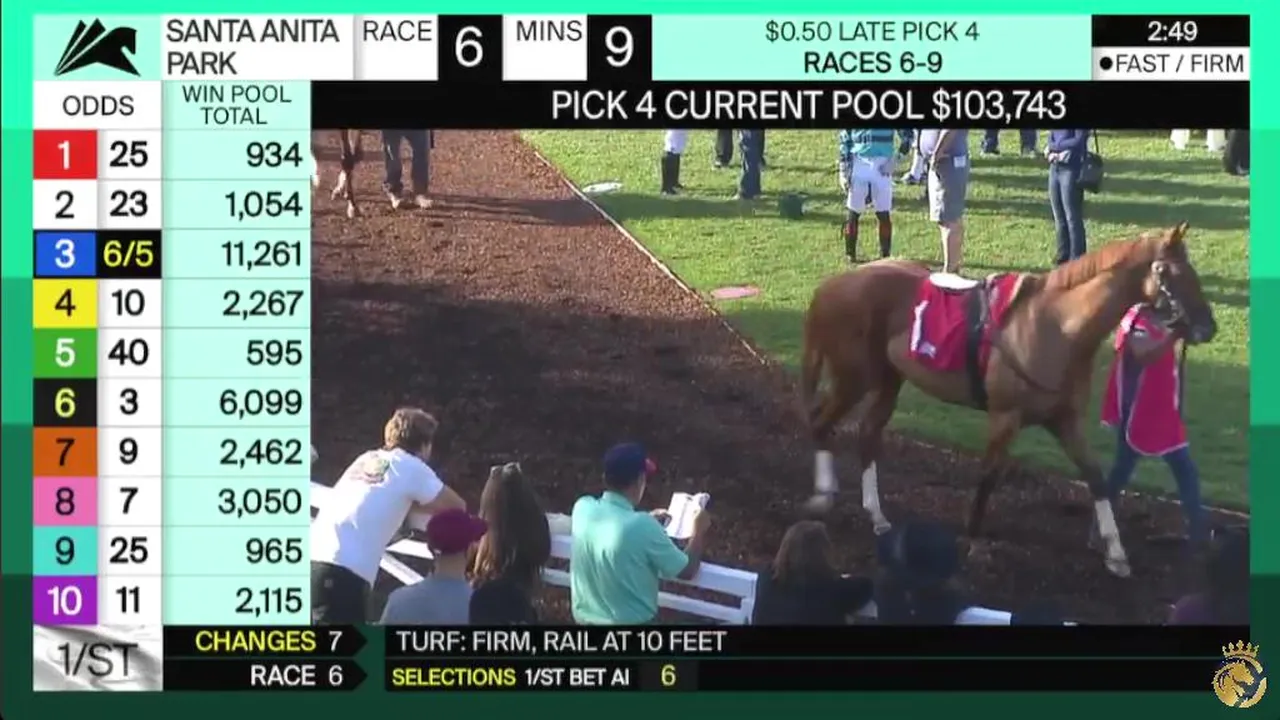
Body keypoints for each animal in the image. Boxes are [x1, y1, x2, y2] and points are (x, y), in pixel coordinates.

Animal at [799, 223, 1217, 577]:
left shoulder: (1065, 419)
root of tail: (831, 285)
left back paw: (876, 514)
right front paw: (973, 537)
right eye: (1171, 272)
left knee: (868, 432)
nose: (1207, 326)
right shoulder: (1005, 416)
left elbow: (1096, 478)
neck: (1056, 326)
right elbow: (988, 475)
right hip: (855, 378)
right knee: (820, 422)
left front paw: (1115, 553)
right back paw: (821, 496)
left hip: (889, 378)